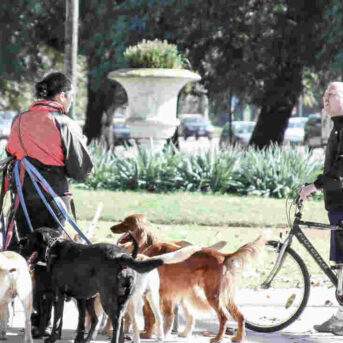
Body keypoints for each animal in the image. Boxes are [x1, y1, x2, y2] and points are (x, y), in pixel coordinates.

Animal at [26, 228, 163, 343]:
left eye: (30, 238)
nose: (22, 241)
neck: (53, 246)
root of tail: (123, 256)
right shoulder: (80, 298)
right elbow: (78, 320)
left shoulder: (58, 295)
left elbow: (57, 319)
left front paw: (52, 338)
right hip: (121, 301)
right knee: (118, 321)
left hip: (107, 300)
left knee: (116, 321)